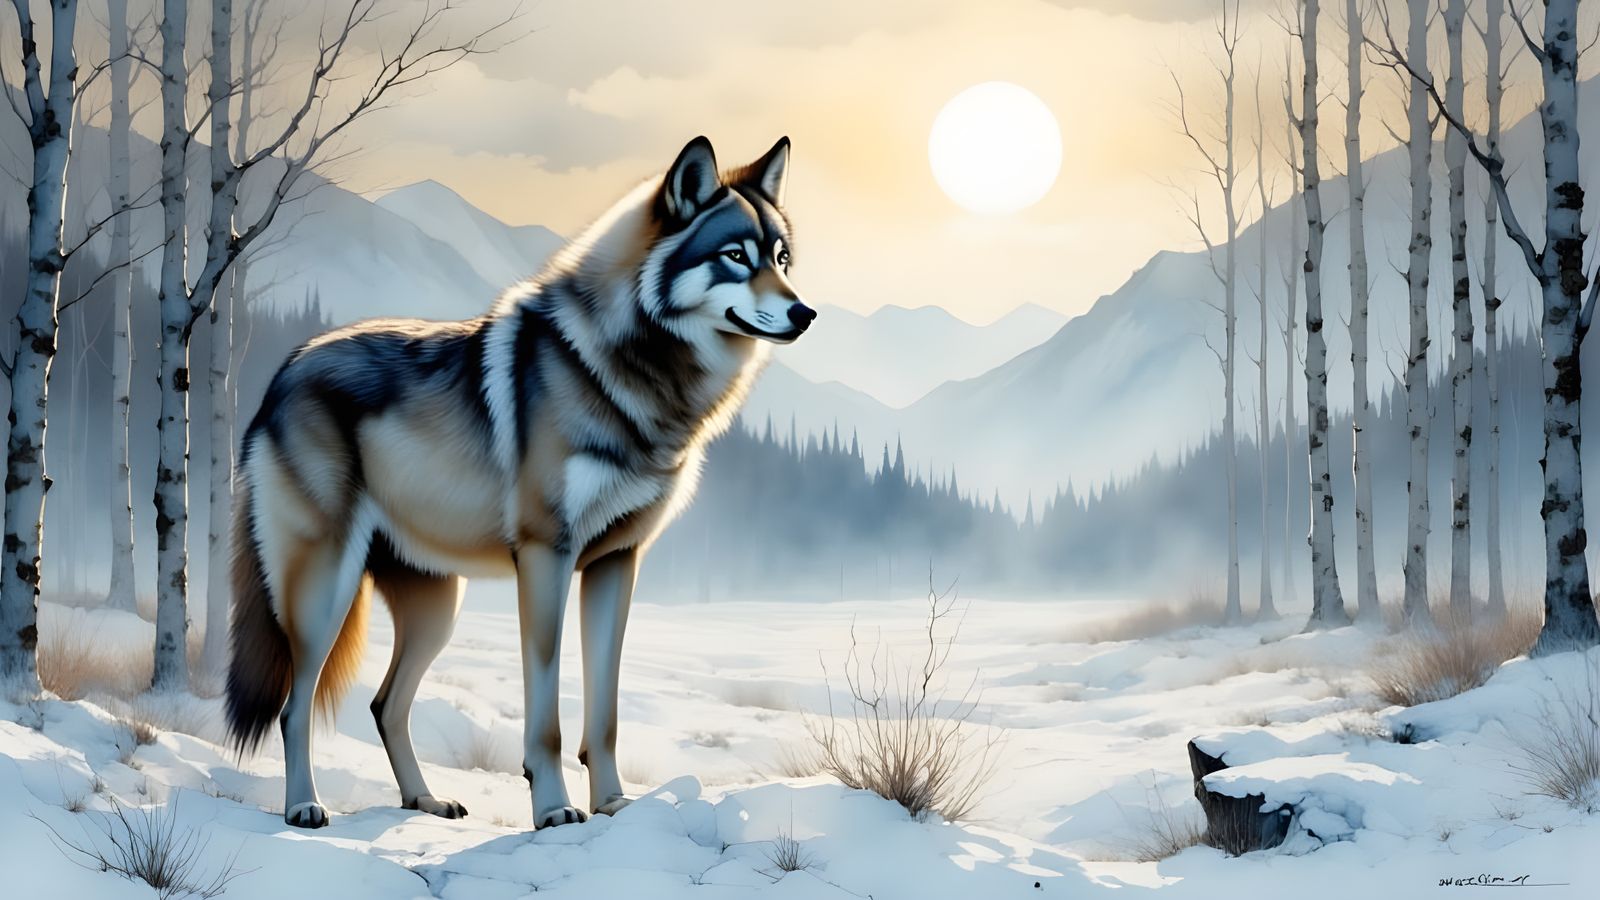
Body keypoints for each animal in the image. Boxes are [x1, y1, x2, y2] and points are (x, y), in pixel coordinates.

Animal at [224, 136, 814, 830]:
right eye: (735, 256)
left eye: (781, 259)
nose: (805, 312)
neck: (635, 376)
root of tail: (284, 371)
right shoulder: (545, 557)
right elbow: (547, 718)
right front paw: (555, 809)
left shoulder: (616, 561)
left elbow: (605, 714)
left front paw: (614, 804)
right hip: (325, 593)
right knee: (295, 706)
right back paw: (303, 806)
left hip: (437, 611)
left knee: (385, 704)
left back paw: (424, 801)